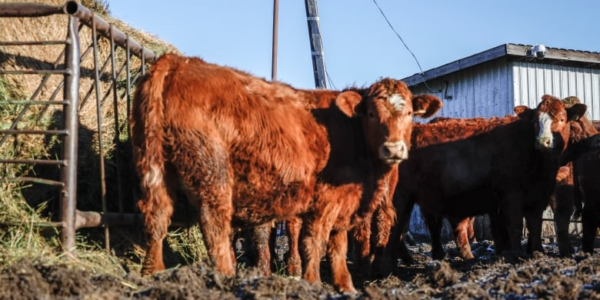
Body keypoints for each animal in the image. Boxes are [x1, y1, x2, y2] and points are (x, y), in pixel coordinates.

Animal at [131, 52, 440, 292]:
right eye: (373, 114)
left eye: (410, 114)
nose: (394, 148)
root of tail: (178, 62)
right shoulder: (326, 201)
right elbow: (314, 243)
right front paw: (313, 283)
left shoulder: (343, 204)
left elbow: (338, 247)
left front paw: (346, 286)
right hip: (212, 172)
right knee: (215, 224)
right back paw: (226, 278)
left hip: (155, 167)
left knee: (157, 215)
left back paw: (151, 275)